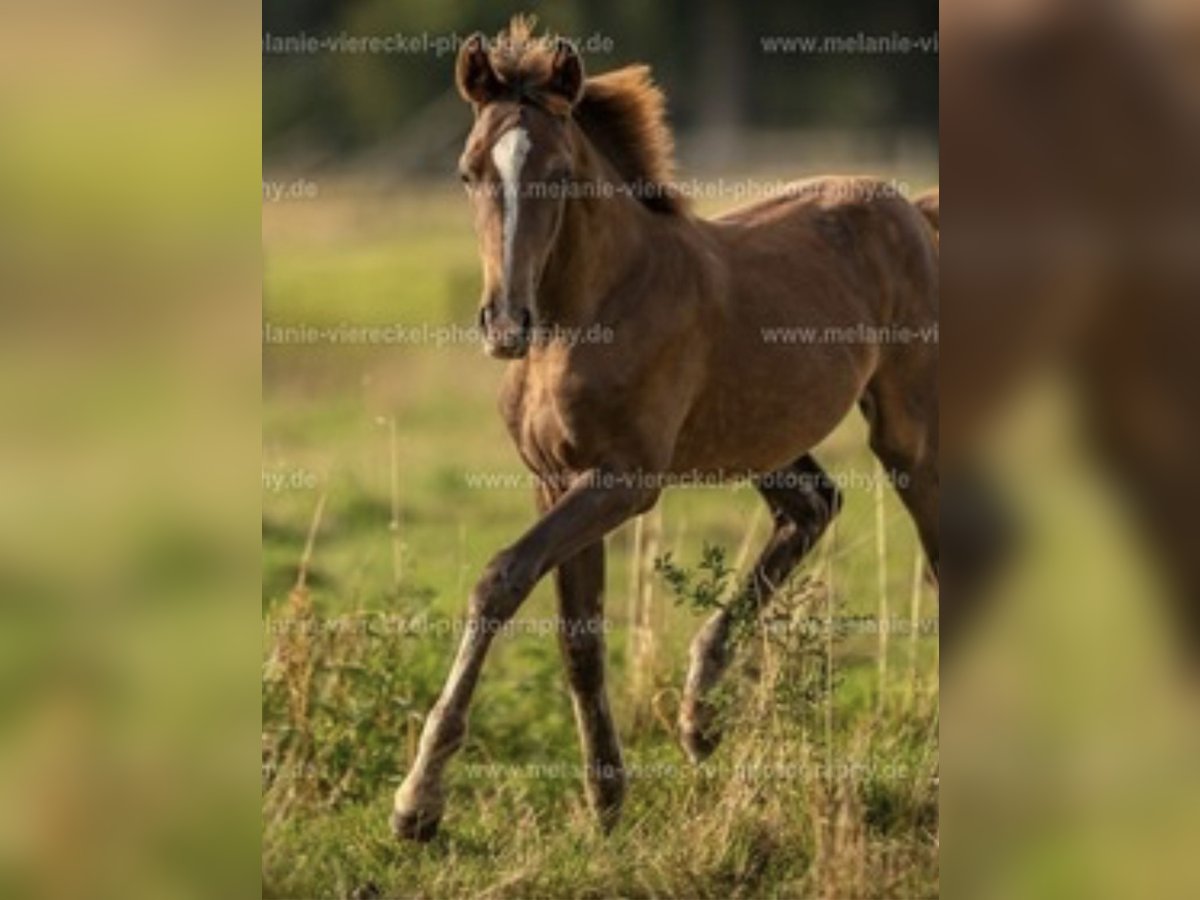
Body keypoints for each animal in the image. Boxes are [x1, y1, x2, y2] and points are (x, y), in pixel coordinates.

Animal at [392, 18, 939, 841]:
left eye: (559, 173)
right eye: (466, 172)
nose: (506, 324)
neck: (589, 312)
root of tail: (914, 205)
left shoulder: (624, 479)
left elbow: (500, 580)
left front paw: (418, 802)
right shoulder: (552, 479)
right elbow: (578, 638)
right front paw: (605, 802)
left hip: (905, 425)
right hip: (762, 434)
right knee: (812, 505)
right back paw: (698, 718)